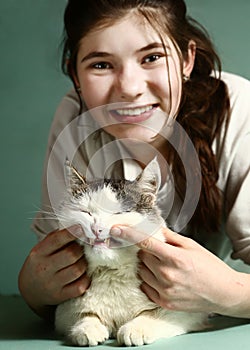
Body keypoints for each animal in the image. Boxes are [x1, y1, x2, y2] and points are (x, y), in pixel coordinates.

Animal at [54, 159, 207, 348]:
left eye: (119, 213)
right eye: (86, 212)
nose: (96, 228)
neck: (112, 275)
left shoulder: (191, 309)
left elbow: (151, 314)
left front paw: (135, 329)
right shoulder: (62, 311)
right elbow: (84, 313)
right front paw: (88, 328)